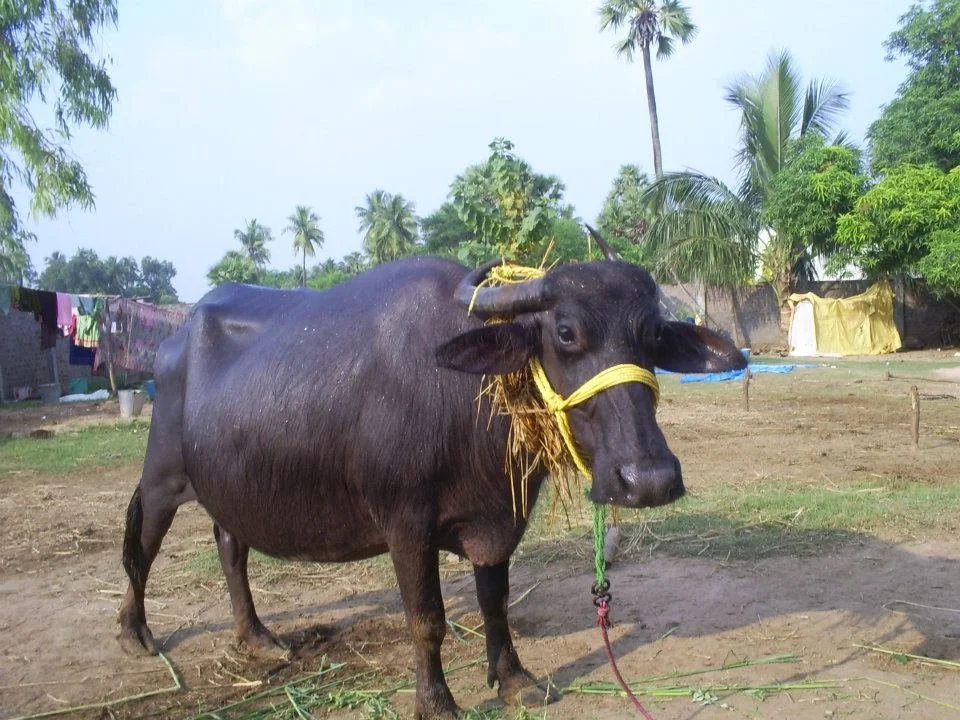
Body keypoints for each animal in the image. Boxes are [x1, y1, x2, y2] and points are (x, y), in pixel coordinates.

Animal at [118, 251, 745, 719]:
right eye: (566, 332)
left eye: (653, 334)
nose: (650, 480)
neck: (467, 397)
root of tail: (174, 341)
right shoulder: (405, 525)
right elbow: (427, 620)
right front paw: (438, 703)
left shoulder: (498, 517)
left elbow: (495, 604)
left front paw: (515, 679)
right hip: (162, 476)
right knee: (143, 547)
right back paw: (134, 632)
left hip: (227, 486)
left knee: (231, 547)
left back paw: (255, 636)